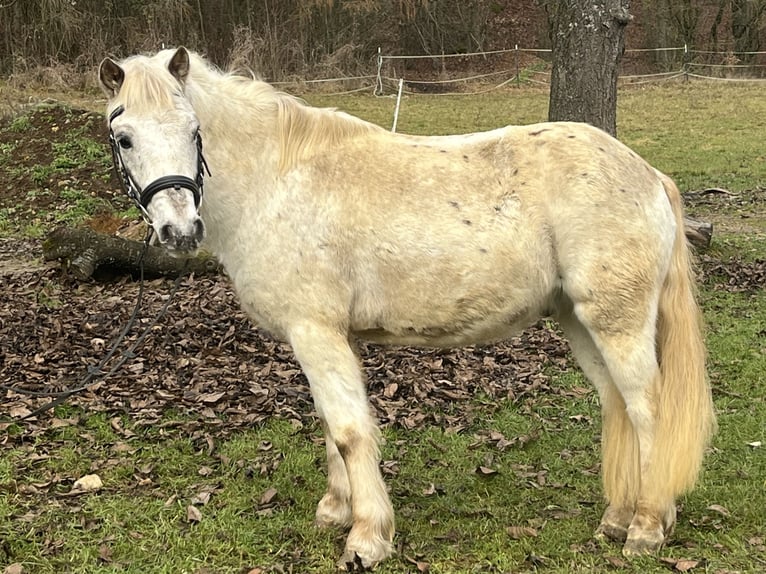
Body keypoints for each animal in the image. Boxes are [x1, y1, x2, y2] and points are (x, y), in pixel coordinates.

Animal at [98, 47, 715, 570]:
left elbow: (350, 431)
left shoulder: (315, 332)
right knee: (617, 405)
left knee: (648, 410)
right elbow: (332, 426)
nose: (179, 231)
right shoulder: (327, 338)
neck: (278, 181)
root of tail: (648, 174)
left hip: (618, 323)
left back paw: (647, 527)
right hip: (580, 322)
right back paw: (618, 518)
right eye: (123, 138)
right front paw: (336, 511)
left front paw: (366, 538)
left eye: (193, 130)